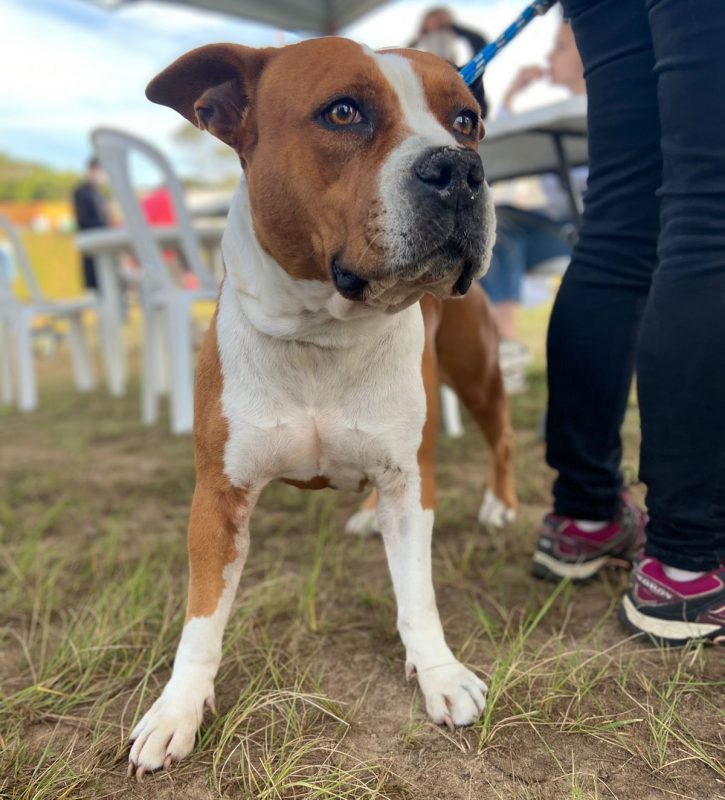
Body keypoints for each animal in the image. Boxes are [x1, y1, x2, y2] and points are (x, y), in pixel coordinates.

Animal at [129, 36, 516, 776]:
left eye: (466, 121)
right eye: (343, 112)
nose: (460, 169)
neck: (324, 334)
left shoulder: (410, 481)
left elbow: (417, 593)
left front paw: (440, 674)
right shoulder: (217, 499)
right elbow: (201, 619)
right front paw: (176, 710)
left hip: (476, 373)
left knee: (501, 438)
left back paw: (500, 505)